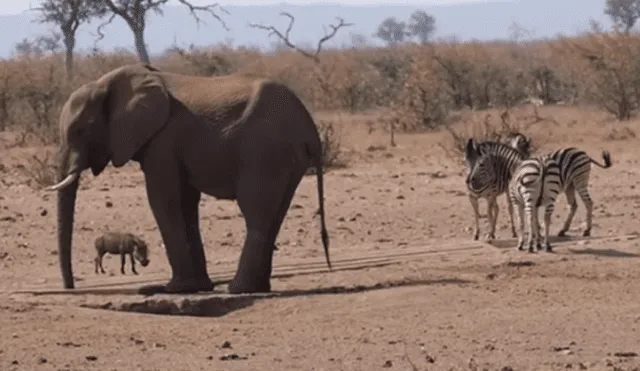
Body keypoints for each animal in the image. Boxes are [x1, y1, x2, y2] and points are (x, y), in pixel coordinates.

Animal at [46, 63, 330, 296]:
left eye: (80, 130)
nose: (70, 287)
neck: (108, 82)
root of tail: (309, 128)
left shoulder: (163, 140)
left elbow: (163, 199)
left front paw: (176, 289)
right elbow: (186, 203)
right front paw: (197, 287)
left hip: (264, 150)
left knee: (255, 211)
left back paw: (238, 289)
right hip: (287, 158)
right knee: (275, 214)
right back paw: (257, 288)